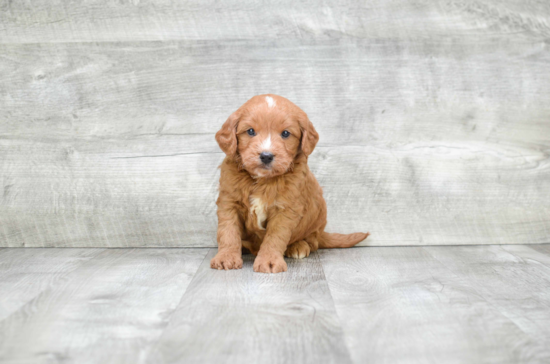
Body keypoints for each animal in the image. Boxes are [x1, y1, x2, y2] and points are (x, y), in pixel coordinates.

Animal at [211, 94, 370, 272]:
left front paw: (269, 261)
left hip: (318, 215)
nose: (266, 156)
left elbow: (275, 237)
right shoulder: (229, 202)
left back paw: (298, 246)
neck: (263, 180)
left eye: (286, 133)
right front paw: (226, 257)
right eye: (250, 131)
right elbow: (228, 232)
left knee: (312, 242)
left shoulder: (285, 209)